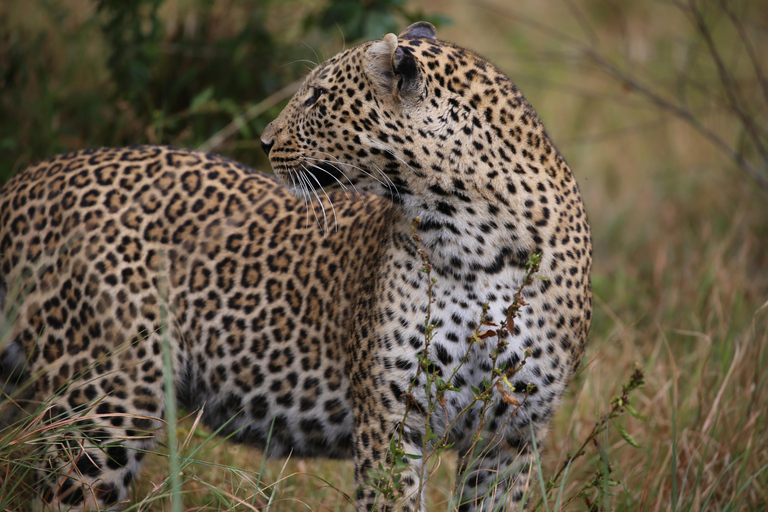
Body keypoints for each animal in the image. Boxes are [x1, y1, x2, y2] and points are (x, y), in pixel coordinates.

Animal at [0, 21, 592, 512]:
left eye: (316, 97)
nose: (263, 141)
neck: (473, 236)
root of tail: (31, 179)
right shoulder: (392, 418)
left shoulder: (512, 435)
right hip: (104, 403)